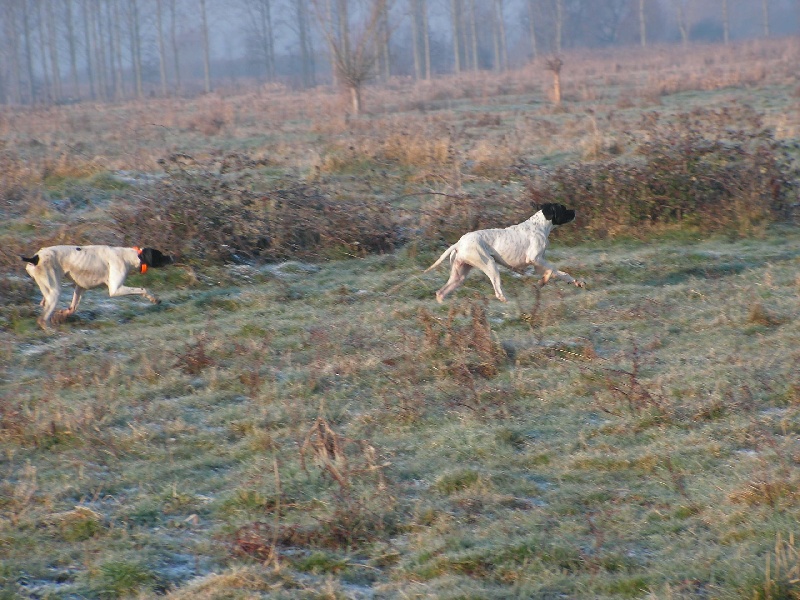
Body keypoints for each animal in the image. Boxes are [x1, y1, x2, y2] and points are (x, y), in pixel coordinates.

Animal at [21, 243, 173, 328]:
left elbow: (72, 307)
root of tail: (35, 258)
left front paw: (62, 314)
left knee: (43, 304)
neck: (127, 255)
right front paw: (154, 298)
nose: (172, 257)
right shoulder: (116, 289)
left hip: (49, 291)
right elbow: (142, 289)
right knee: (42, 320)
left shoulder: (80, 287)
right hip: (55, 292)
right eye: (160, 255)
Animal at [424, 203, 580, 304]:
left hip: (459, 276)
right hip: (491, 266)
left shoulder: (538, 263)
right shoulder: (534, 258)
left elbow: (560, 273)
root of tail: (459, 243)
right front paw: (543, 281)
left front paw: (575, 282)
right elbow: (552, 269)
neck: (540, 226)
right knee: (498, 292)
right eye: (563, 209)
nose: (575, 211)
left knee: (441, 292)